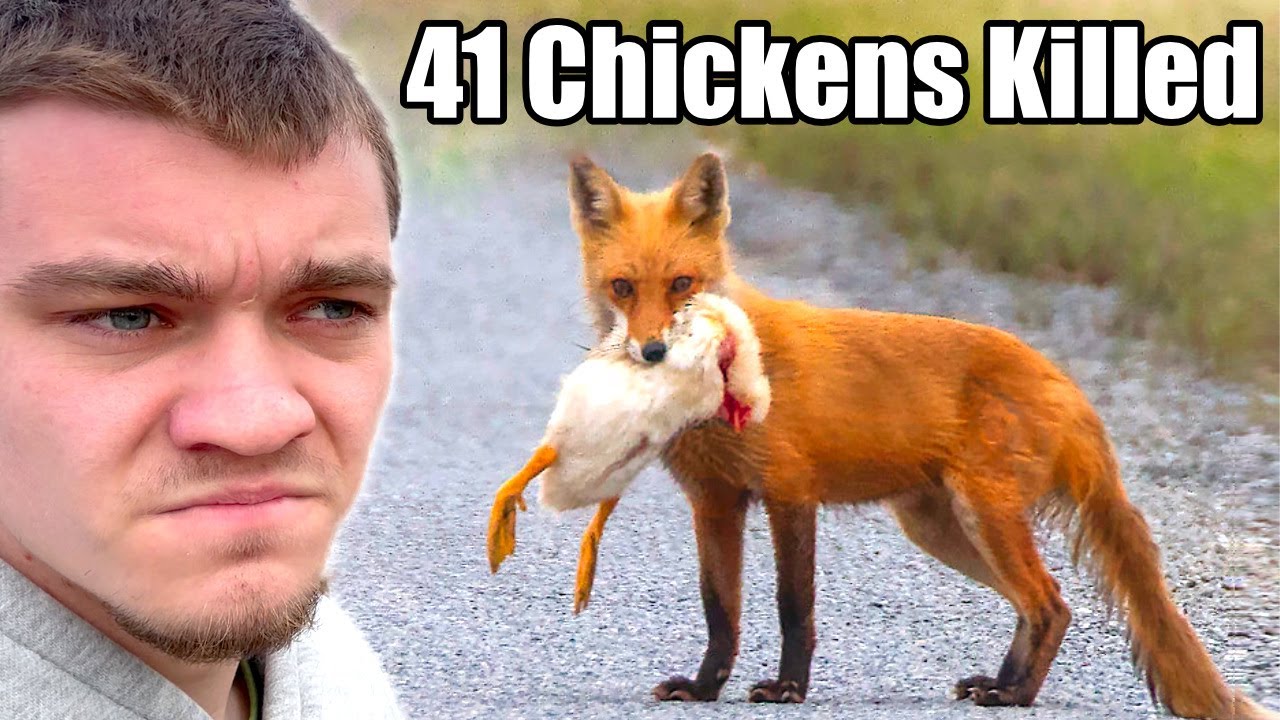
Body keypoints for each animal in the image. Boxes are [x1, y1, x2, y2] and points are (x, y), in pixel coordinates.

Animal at [564, 151, 1277, 719]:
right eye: (623, 287)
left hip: (980, 515)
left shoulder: (790, 492)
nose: (652, 351)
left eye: (681, 284)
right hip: (941, 528)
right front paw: (706, 687)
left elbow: (794, 608)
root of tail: (1064, 382)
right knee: (1046, 606)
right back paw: (1003, 683)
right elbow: (721, 611)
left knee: (1050, 602)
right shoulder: (714, 501)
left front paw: (789, 689)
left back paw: (1014, 696)